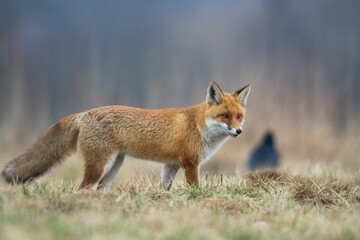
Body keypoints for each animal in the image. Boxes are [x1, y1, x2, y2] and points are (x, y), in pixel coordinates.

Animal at [1, 81, 250, 190]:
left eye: (239, 116)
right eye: (225, 116)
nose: (239, 131)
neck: (199, 125)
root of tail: (85, 112)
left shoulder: (171, 165)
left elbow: (163, 188)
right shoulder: (190, 163)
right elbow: (195, 187)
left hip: (113, 167)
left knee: (98, 189)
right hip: (99, 166)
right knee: (81, 188)